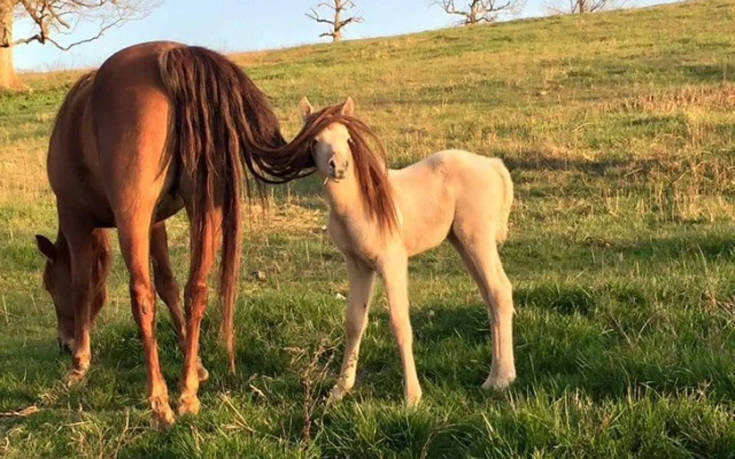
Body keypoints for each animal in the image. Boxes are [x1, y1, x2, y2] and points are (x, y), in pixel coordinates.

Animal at [33, 41, 314, 430]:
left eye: (48, 284)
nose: (65, 344)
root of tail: (172, 54)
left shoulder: (76, 216)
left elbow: (82, 287)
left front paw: (80, 364)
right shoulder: (156, 223)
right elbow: (168, 284)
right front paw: (195, 364)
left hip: (134, 216)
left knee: (142, 295)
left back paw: (159, 402)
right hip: (203, 207)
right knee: (196, 289)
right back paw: (187, 394)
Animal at [300, 98, 516, 406]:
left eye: (347, 138)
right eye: (315, 140)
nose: (339, 167)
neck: (361, 203)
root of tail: (492, 164)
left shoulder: (391, 262)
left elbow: (400, 323)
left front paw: (412, 396)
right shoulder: (357, 265)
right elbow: (354, 322)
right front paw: (339, 391)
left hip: (478, 240)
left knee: (499, 291)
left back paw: (500, 380)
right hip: (463, 243)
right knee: (490, 296)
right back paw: (496, 376)